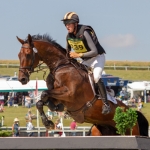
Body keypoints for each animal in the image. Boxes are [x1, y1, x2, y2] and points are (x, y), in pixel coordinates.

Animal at [16, 34, 149, 136]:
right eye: (18, 55)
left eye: (28, 54)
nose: (22, 79)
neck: (60, 66)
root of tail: (132, 113)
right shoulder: (58, 95)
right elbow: (41, 101)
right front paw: (49, 119)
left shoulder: (69, 94)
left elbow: (44, 93)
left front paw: (49, 121)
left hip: (130, 130)